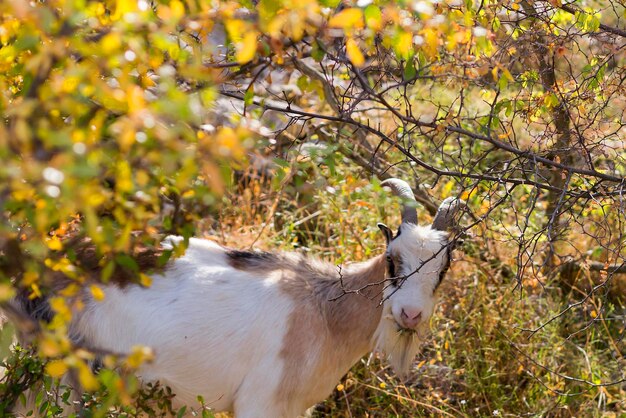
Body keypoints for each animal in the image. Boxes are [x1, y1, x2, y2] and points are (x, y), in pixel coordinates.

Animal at [4, 178, 464, 416]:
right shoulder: (260, 403)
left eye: (443, 269)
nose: (410, 314)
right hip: (54, 385)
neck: (324, 310)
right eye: (391, 260)